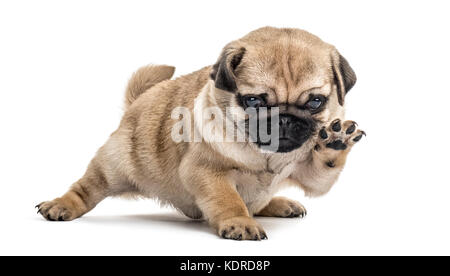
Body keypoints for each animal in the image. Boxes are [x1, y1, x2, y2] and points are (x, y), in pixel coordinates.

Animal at [36, 27, 366, 240]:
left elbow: (322, 168)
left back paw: (279, 203)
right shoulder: (206, 171)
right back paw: (61, 205)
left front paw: (336, 142)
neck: (264, 156)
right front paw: (238, 221)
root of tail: (139, 102)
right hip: (113, 166)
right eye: (253, 101)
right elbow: (227, 199)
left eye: (315, 102)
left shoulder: (310, 172)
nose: (283, 120)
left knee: (258, 202)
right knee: (87, 188)